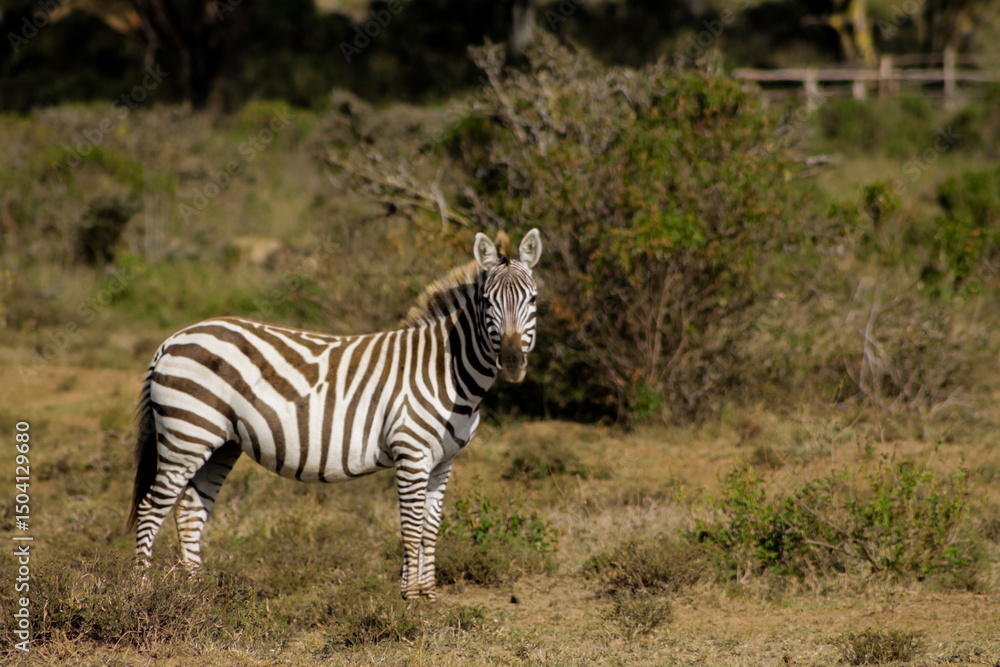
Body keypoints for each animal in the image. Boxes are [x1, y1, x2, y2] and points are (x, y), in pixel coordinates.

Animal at [127, 229, 542, 600]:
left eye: (533, 299)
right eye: (487, 302)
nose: (511, 362)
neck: (447, 372)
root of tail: (173, 339)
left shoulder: (443, 461)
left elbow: (429, 529)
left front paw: (428, 597)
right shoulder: (411, 454)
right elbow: (411, 528)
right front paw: (409, 600)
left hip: (220, 443)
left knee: (189, 513)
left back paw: (196, 596)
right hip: (187, 435)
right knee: (150, 510)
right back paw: (144, 595)